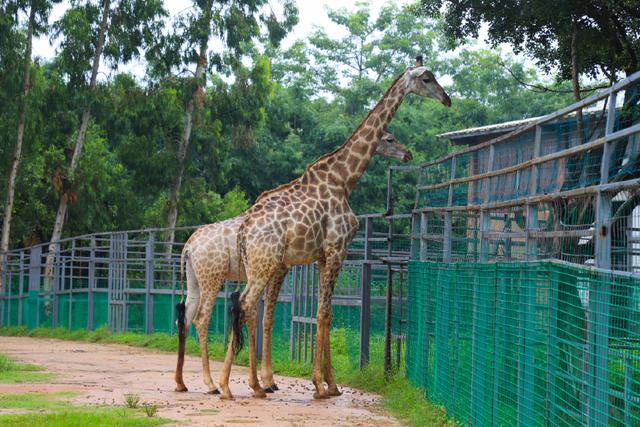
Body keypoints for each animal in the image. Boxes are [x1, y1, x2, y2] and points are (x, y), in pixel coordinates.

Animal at [170, 133, 412, 394]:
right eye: (390, 139)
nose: (406, 153)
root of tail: (188, 247)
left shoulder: (275, 270)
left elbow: (262, 316)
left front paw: (268, 381)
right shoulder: (280, 269)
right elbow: (264, 316)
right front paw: (268, 382)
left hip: (195, 280)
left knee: (184, 318)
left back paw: (183, 382)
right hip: (212, 279)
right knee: (202, 318)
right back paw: (211, 384)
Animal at [219, 57, 450, 402]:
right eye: (427, 78)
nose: (447, 99)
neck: (344, 179)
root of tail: (244, 230)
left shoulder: (322, 256)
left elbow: (324, 313)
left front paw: (331, 384)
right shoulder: (337, 249)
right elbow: (325, 313)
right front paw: (319, 386)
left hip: (265, 265)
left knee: (250, 307)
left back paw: (238, 383)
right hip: (265, 265)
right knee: (247, 306)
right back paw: (249, 385)